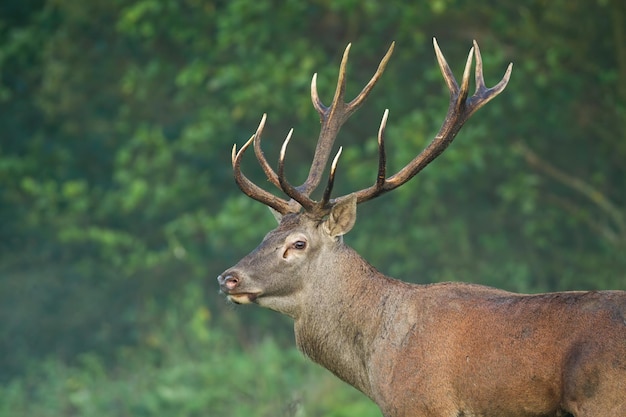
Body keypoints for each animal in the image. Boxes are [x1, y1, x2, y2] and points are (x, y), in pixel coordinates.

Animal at [216, 38, 624, 412]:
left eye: (298, 243)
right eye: (268, 235)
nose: (227, 278)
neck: (377, 364)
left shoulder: (422, 403)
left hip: (602, 400)